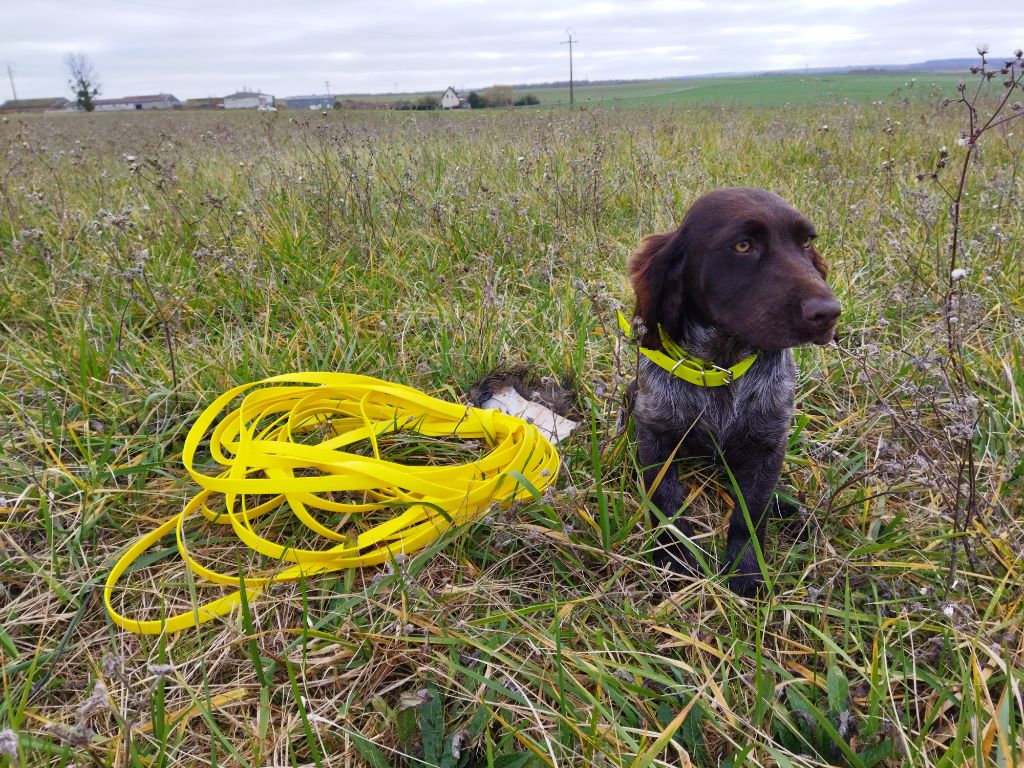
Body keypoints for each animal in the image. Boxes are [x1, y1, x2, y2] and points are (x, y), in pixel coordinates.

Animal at [622, 186, 839, 593]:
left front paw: (746, 572)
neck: (722, 365)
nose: (829, 313)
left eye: (806, 243)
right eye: (743, 245)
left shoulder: (769, 444)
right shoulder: (654, 433)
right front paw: (675, 558)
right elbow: (666, 499)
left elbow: (750, 513)